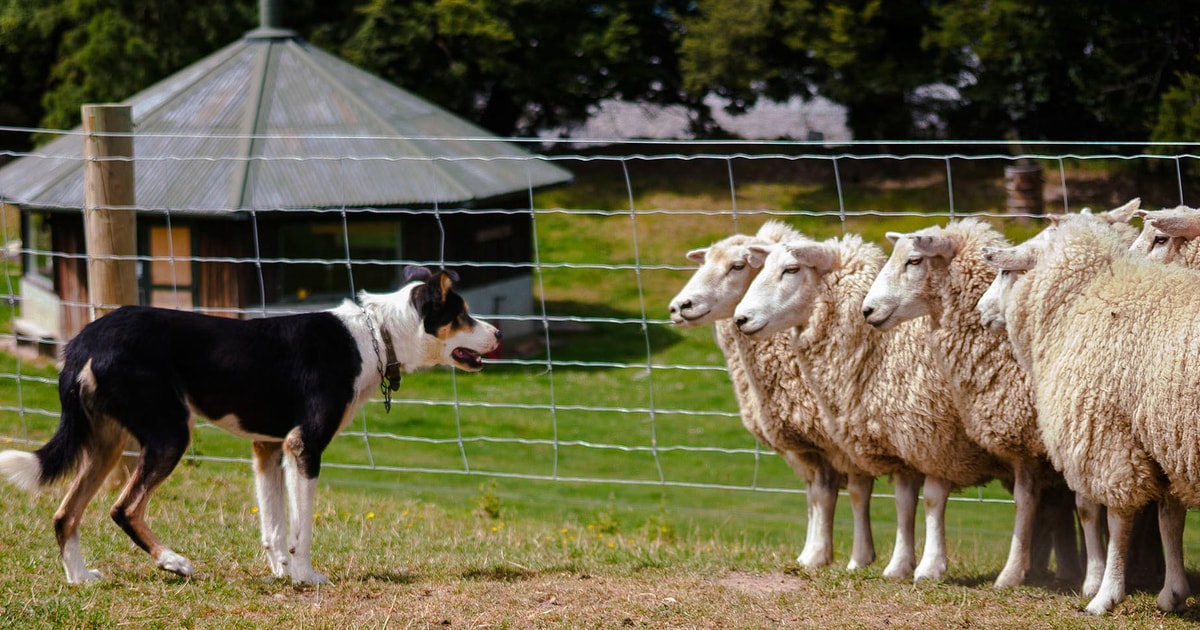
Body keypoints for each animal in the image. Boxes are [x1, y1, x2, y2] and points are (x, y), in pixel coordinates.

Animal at [0, 265, 499, 585]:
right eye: (462, 315)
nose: (497, 334)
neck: (376, 334)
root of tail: (84, 340)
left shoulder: (268, 448)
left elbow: (275, 526)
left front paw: (282, 572)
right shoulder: (304, 447)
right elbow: (301, 528)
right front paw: (305, 577)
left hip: (107, 443)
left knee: (65, 513)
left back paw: (80, 578)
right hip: (169, 434)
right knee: (122, 507)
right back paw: (172, 562)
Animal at [667, 220, 873, 568]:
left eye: (738, 266)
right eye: (704, 262)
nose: (680, 306)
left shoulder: (844, 438)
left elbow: (855, 492)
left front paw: (856, 559)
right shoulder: (807, 444)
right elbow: (817, 495)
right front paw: (812, 555)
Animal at [729, 229, 1003, 580]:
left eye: (791, 269)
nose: (741, 318)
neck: (883, 349)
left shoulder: (937, 437)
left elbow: (926, 499)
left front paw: (924, 566)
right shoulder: (890, 443)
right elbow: (896, 500)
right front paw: (892, 563)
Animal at [979, 216, 1195, 614]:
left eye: (1004, 271)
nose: (980, 311)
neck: (1084, 299)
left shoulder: (1110, 438)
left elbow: (1119, 519)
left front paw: (1106, 594)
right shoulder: (1162, 440)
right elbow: (1170, 519)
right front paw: (1172, 593)